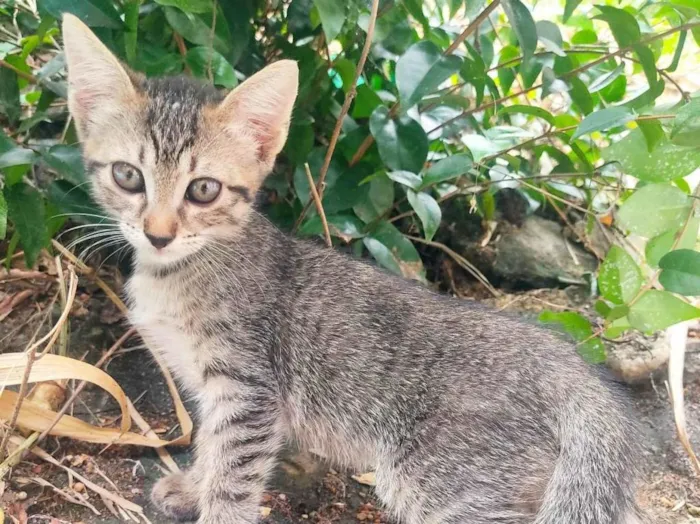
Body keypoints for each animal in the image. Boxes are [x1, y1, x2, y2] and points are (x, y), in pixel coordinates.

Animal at [64, 14, 644, 524]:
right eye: (128, 176)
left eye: (203, 189)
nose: (158, 233)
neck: (182, 271)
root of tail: (567, 364)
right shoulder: (217, 393)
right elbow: (210, 444)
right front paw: (192, 487)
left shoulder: (249, 392)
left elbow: (233, 476)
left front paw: (213, 504)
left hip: (446, 482)